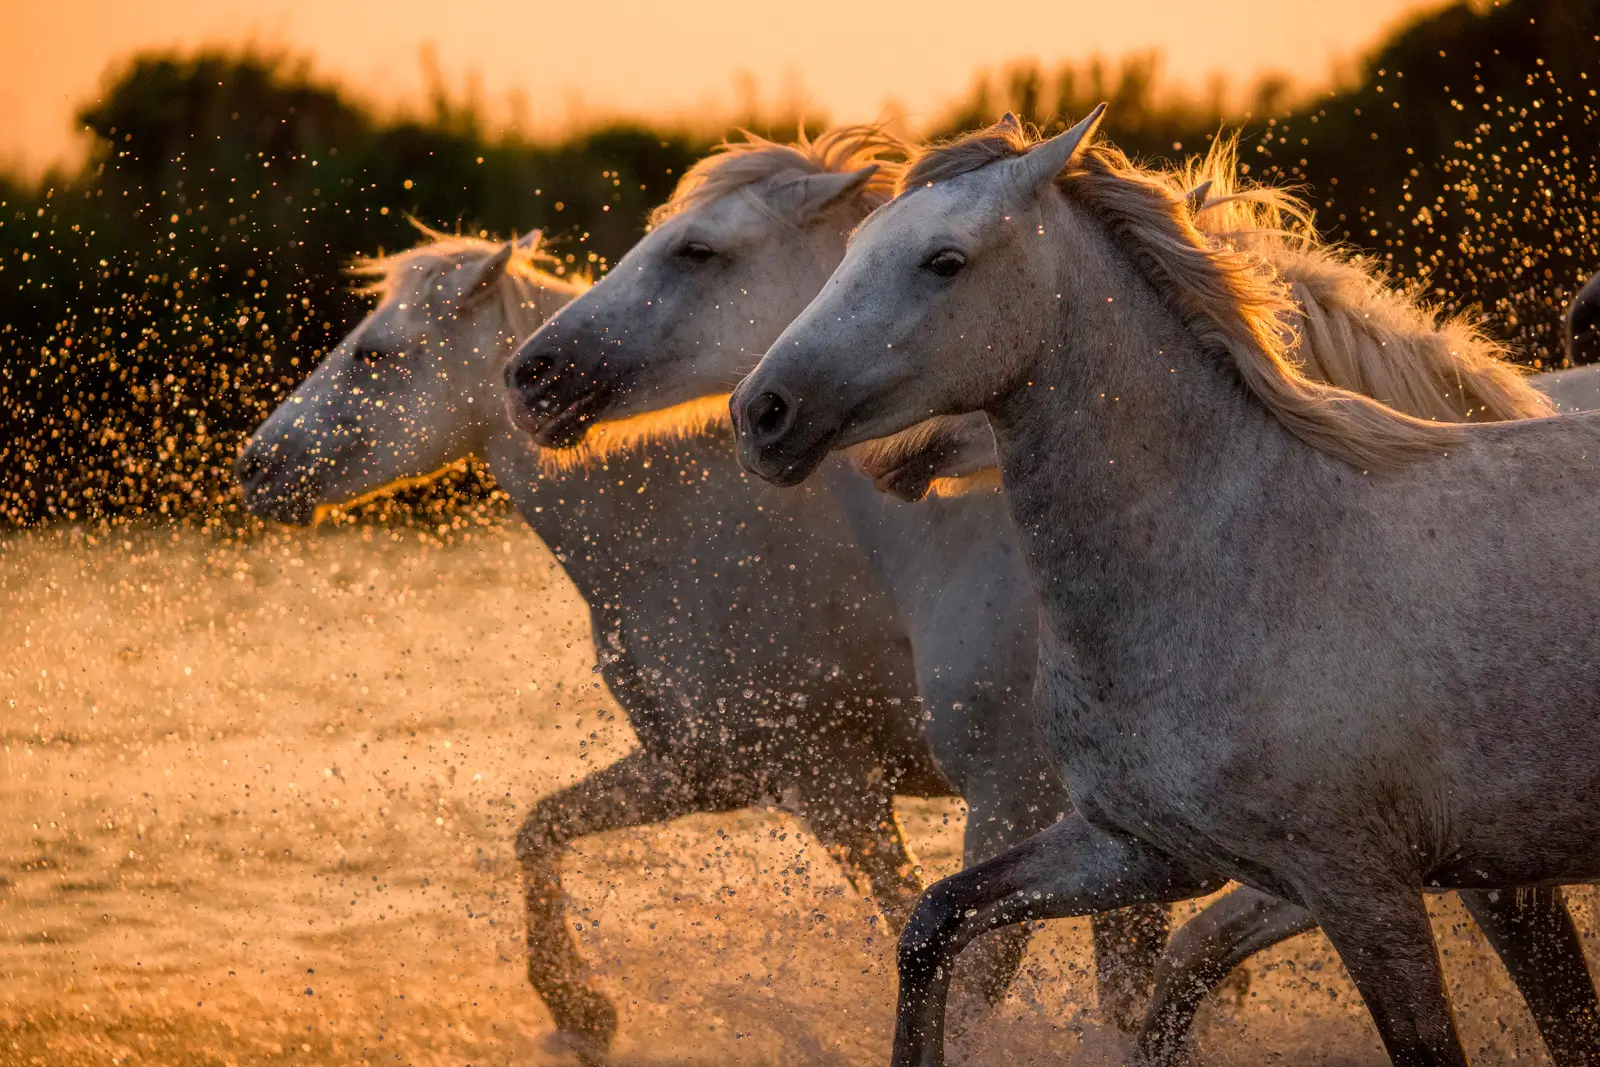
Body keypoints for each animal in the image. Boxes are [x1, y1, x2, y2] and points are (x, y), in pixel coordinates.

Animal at [234, 226, 954, 1062]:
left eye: (373, 353)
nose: (253, 466)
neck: (693, 534)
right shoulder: (696, 770)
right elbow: (538, 828)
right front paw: (580, 1010)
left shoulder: (835, 782)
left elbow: (917, 926)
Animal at [732, 107, 1600, 1067]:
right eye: (855, 246)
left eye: (944, 261)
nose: (761, 412)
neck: (1237, 559)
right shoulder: (1148, 851)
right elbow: (937, 920)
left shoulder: (1361, 883)